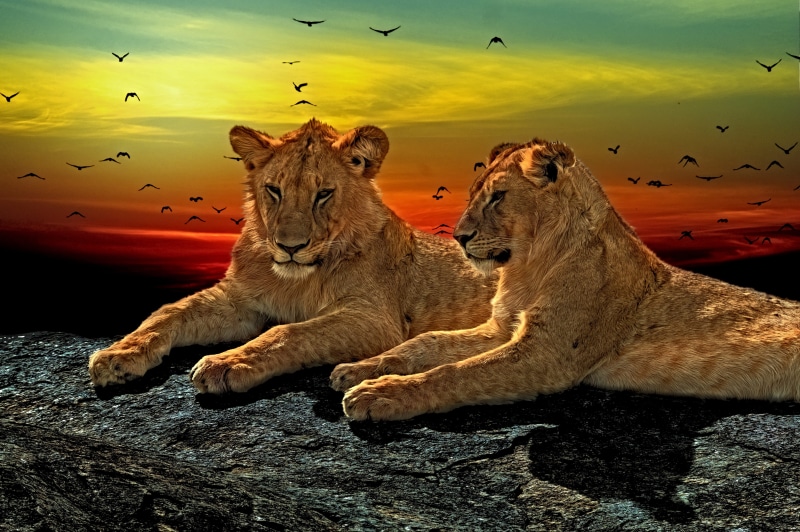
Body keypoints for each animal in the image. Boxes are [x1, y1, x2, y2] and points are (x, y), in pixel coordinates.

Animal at [88, 119, 496, 392]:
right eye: (274, 190)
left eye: (323, 194)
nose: (290, 246)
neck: (295, 280)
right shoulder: (240, 300)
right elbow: (168, 312)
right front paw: (117, 355)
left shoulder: (375, 319)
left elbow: (288, 332)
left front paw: (228, 361)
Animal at [331, 137, 800, 421]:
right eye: (473, 195)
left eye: (498, 196)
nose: (460, 238)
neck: (528, 267)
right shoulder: (501, 329)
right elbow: (425, 343)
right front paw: (359, 369)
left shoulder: (547, 354)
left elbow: (455, 373)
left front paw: (379, 395)